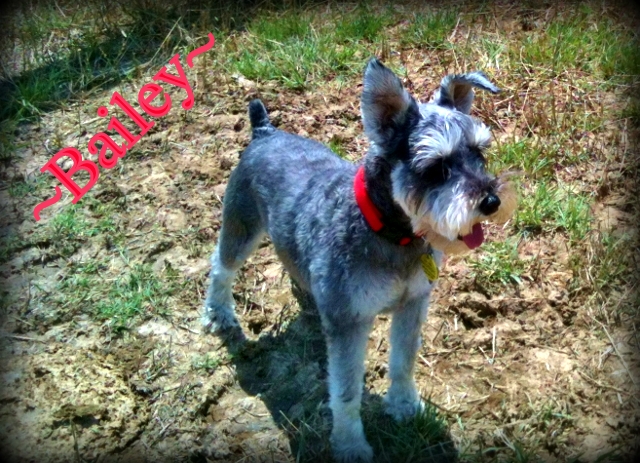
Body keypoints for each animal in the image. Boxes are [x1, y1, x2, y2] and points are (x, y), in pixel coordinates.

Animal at [202, 59, 516, 462]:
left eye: (480, 152)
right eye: (436, 168)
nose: (491, 201)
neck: (393, 233)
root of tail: (263, 133)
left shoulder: (413, 303)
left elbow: (402, 362)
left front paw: (403, 406)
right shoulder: (349, 323)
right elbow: (346, 392)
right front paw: (351, 445)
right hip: (240, 227)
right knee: (221, 266)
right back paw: (219, 314)